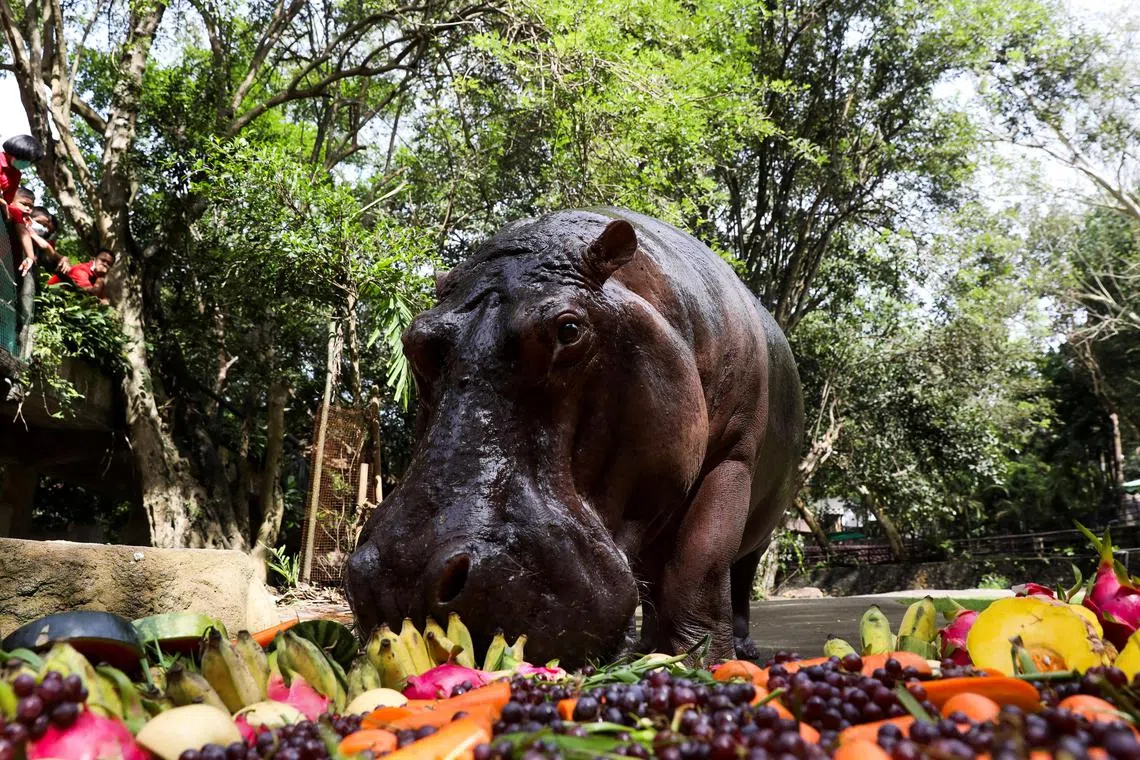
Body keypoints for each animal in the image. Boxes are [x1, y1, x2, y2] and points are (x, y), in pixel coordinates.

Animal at [346, 208, 804, 666]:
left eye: (569, 329)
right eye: (414, 341)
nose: (403, 576)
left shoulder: (732, 457)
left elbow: (702, 564)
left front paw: (700, 663)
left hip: (761, 526)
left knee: (739, 574)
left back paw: (740, 649)